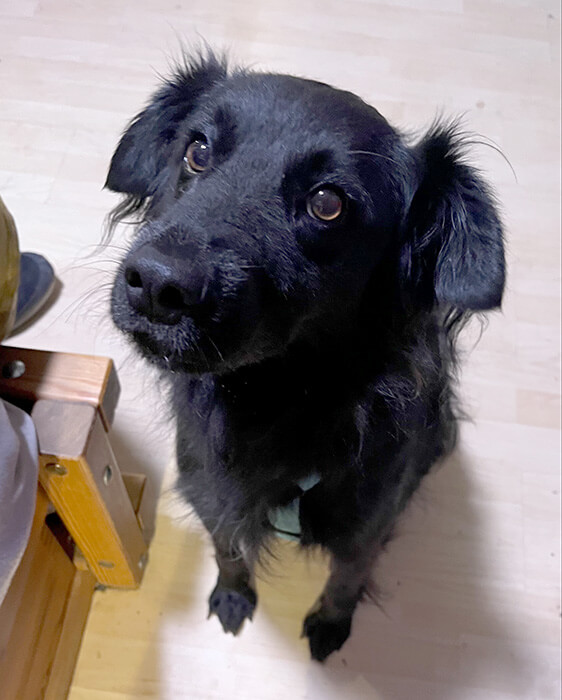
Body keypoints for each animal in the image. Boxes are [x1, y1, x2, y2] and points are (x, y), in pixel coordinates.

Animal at [106, 51, 505, 662]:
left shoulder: (366, 525)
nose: (154, 284)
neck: (270, 398)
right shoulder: (210, 494)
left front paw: (330, 625)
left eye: (327, 204)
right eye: (196, 151)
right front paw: (232, 595)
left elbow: (346, 578)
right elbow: (228, 548)